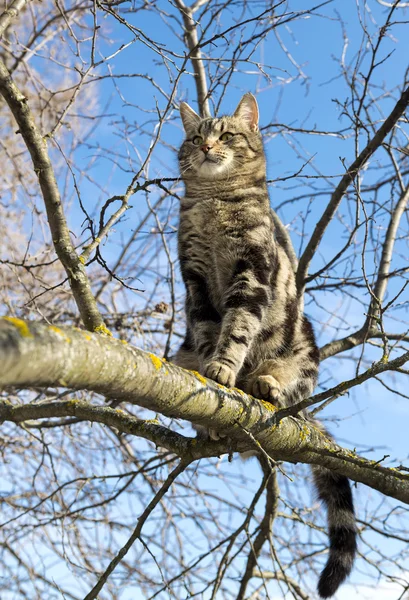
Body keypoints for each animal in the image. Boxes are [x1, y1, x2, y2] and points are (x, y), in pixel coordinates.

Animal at [174, 91, 356, 596]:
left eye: (226, 134)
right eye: (195, 137)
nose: (205, 147)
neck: (213, 205)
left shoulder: (251, 274)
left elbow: (237, 328)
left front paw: (224, 369)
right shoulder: (195, 283)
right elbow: (207, 333)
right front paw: (212, 373)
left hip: (304, 349)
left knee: (288, 389)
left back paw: (265, 384)